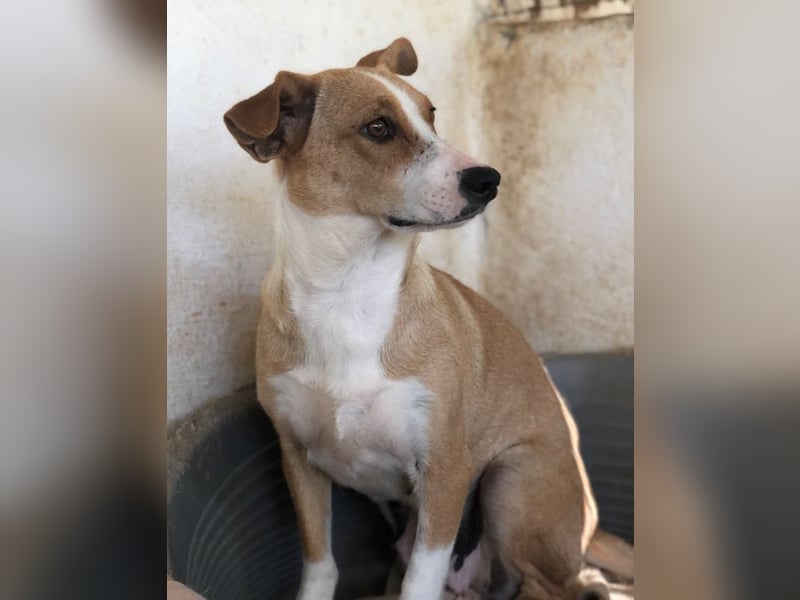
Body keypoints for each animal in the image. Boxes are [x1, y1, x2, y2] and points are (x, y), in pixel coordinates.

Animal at [224, 38, 633, 600]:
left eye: (431, 114)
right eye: (378, 128)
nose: (489, 180)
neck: (347, 294)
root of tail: (590, 530)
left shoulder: (445, 470)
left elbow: (421, 580)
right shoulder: (297, 459)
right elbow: (321, 564)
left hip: (510, 481)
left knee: (572, 585)